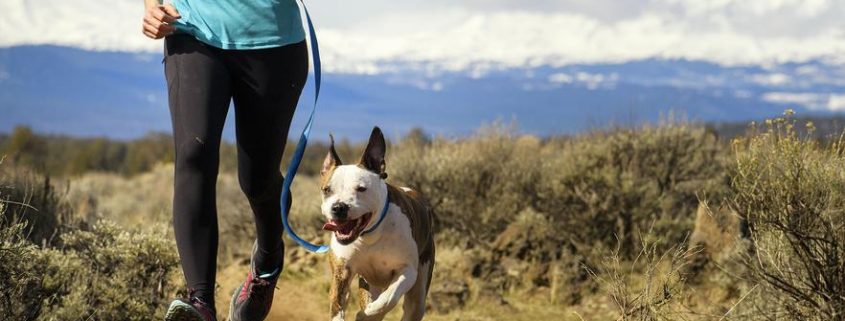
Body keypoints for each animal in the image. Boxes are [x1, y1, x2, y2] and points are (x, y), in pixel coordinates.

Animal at [316, 126, 436, 320]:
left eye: (361, 188)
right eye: (327, 190)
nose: (339, 207)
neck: (370, 235)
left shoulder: (407, 270)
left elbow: (388, 299)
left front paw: (366, 314)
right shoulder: (342, 271)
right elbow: (337, 305)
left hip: (419, 292)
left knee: (411, 306)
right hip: (370, 284)